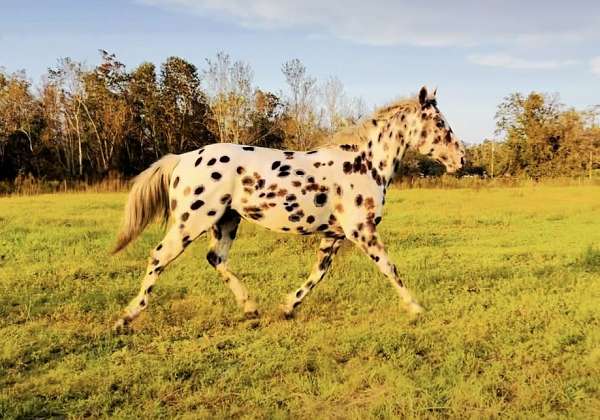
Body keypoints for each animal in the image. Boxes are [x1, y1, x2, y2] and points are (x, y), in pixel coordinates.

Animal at [113, 85, 468, 330]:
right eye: (439, 123)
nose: (461, 159)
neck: (364, 164)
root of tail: (183, 158)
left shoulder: (335, 235)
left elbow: (318, 273)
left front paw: (288, 307)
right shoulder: (361, 231)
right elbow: (389, 268)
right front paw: (417, 309)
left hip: (226, 221)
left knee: (216, 258)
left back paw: (251, 308)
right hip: (193, 221)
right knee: (159, 256)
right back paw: (126, 317)